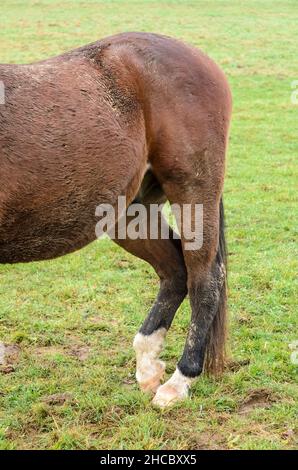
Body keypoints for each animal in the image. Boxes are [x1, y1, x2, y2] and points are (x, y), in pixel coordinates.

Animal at [0, 33, 232, 408]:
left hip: (194, 191)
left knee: (204, 279)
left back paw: (180, 380)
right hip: (129, 212)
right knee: (175, 272)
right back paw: (148, 361)